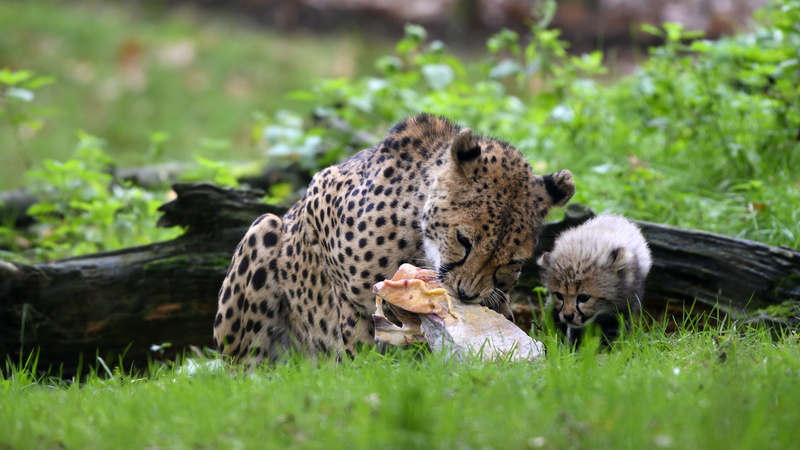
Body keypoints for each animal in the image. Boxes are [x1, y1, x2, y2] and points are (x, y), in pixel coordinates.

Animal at [213, 113, 575, 366]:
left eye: (510, 262)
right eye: (463, 239)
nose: (466, 294)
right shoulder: (319, 194)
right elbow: (352, 316)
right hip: (263, 229)